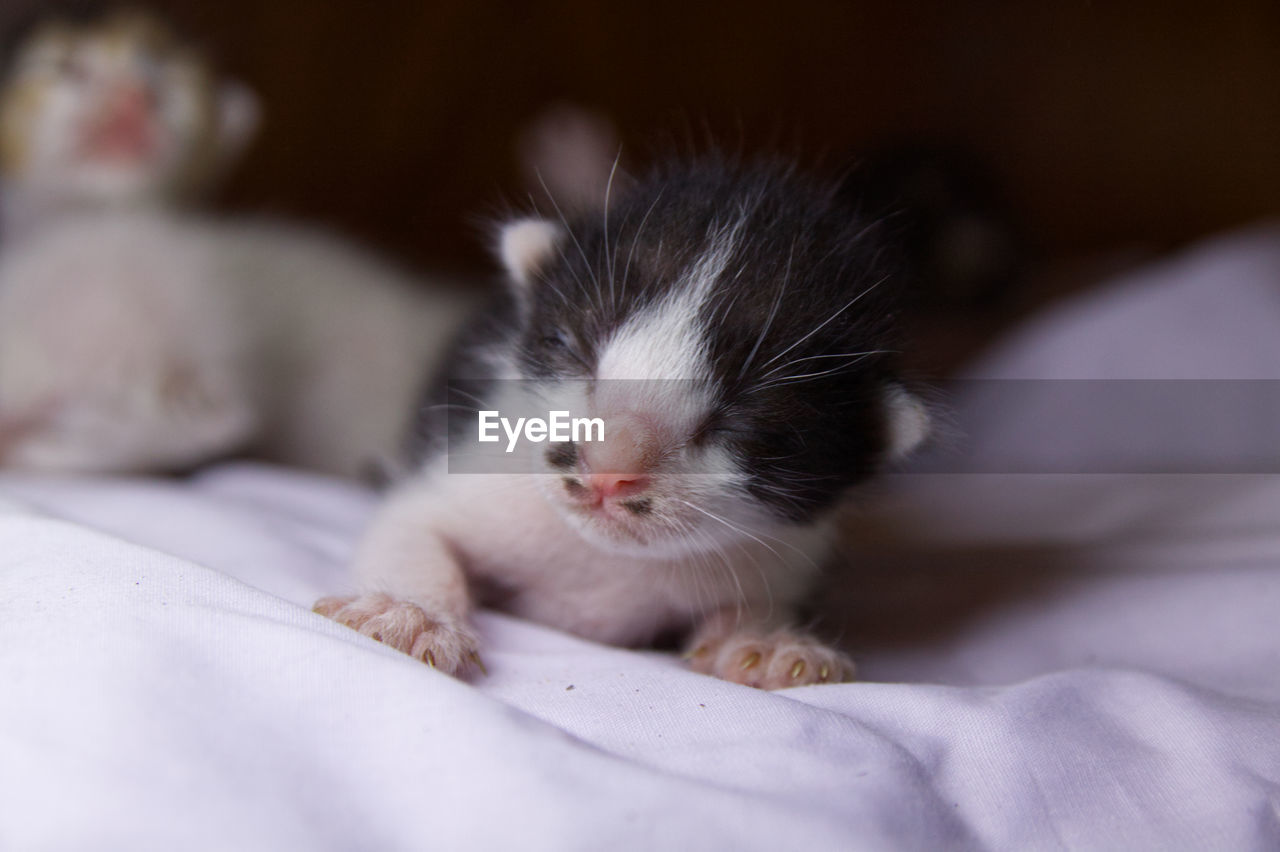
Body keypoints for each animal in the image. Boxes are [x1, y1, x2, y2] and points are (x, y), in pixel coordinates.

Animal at [314, 156, 926, 685]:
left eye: (748, 423)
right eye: (569, 346)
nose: (608, 466)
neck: (600, 559)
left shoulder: (789, 552)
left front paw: (765, 642)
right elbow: (412, 528)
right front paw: (409, 613)